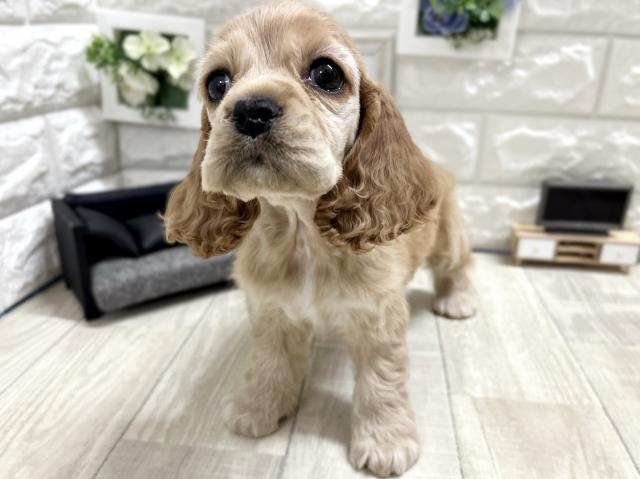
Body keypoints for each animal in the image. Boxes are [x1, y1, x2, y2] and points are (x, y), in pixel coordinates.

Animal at [164, 2, 476, 476]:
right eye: (217, 83)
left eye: (327, 74)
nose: (251, 110)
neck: (302, 234)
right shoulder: (271, 311)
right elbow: (269, 362)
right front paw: (258, 408)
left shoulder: (378, 321)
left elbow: (381, 381)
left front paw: (385, 441)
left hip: (447, 239)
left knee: (460, 265)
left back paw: (457, 300)